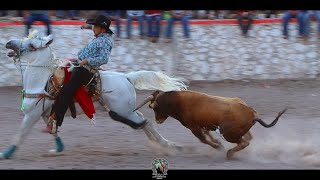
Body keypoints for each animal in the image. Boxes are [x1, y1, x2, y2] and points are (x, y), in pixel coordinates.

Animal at [1, 31, 188, 159]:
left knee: (145, 122)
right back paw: (165, 144)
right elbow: (53, 130)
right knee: (143, 122)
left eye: (32, 45)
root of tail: (127, 77)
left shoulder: (31, 115)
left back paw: (167, 145)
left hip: (124, 112)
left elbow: (20, 134)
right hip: (127, 111)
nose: (9, 43)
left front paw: (6, 153)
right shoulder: (44, 114)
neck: (43, 81)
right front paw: (58, 148)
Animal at [135, 90, 288, 159]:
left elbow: (203, 139)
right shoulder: (203, 125)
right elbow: (208, 135)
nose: (157, 120)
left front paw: (218, 147)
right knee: (248, 138)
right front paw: (217, 143)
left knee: (244, 142)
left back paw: (229, 153)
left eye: (155, 108)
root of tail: (252, 113)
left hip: (229, 134)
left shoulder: (193, 127)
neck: (177, 101)